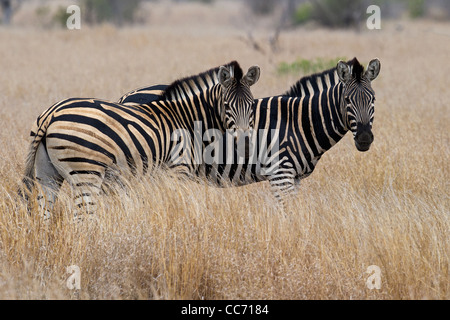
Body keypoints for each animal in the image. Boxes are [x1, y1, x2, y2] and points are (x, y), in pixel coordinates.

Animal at [22, 60, 260, 220]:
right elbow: (176, 206)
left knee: (44, 214)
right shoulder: (178, 171)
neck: (186, 117)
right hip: (86, 173)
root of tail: (50, 114)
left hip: (47, 174)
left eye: (251, 105)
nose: (246, 145)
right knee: (82, 219)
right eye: (227, 106)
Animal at [115, 57, 380, 208]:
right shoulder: (281, 174)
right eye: (347, 100)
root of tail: (125, 97)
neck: (299, 121)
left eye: (374, 99)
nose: (365, 139)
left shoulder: (294, 178)